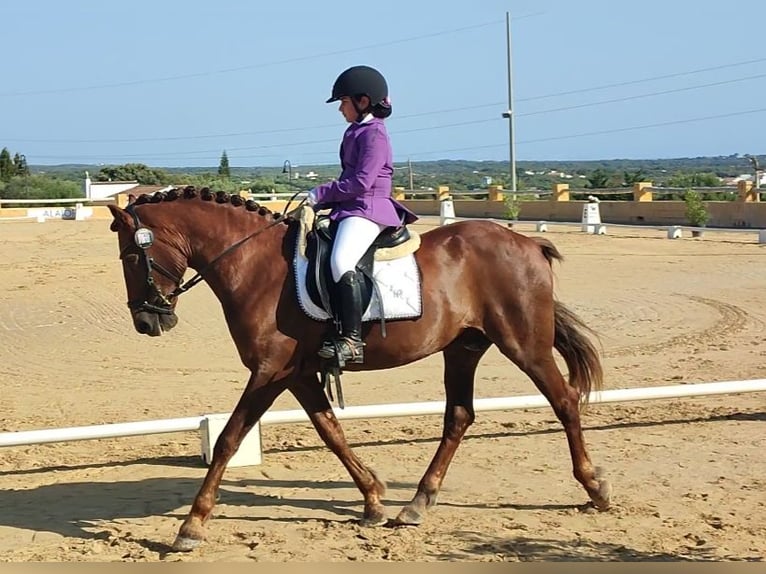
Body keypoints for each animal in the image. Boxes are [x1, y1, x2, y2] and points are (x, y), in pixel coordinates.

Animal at [107, 186, 611, 552]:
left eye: (131, 257)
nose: (147, 322)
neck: (254, 265)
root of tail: (528, 241)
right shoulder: (296, 374)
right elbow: (330, 430)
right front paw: (372, 499)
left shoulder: (270, 372)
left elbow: (230, 438)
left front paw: (191, 526)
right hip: (463, 348)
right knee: (459, 416)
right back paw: (416, 505)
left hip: (523, 344)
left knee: (563, 400)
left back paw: (596, 488)